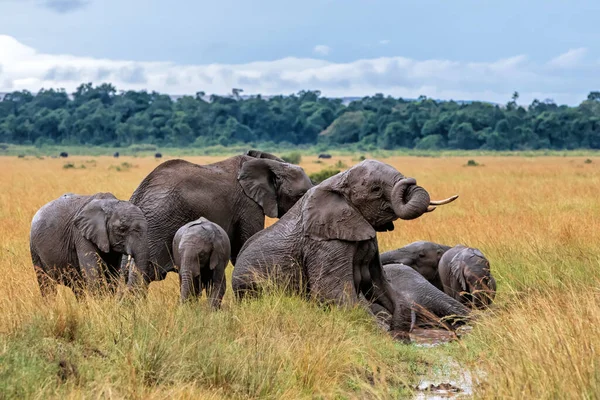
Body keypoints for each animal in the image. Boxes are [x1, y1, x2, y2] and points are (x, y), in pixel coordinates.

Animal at [232, 159, 458, 334]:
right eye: (375, 190)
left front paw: (399, 331)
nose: (410, 180)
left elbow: (380, 286)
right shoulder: (324, 244)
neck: (338, 180)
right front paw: (380, 333)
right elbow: (332, 293)